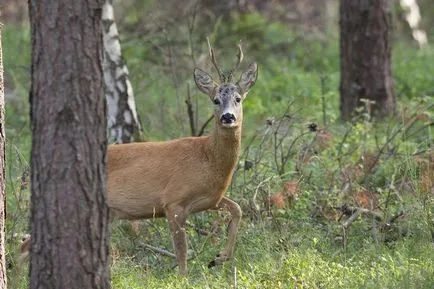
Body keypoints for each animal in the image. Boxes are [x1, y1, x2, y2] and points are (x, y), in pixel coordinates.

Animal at [22, 41, 258, 274]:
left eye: (238, 99)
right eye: (216, 100)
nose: (228, 117)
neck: (208, 158)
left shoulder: (210, 199)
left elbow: (237, 209)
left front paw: (219, 258)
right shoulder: (173, 200)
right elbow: (181, 254)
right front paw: (186, 276)